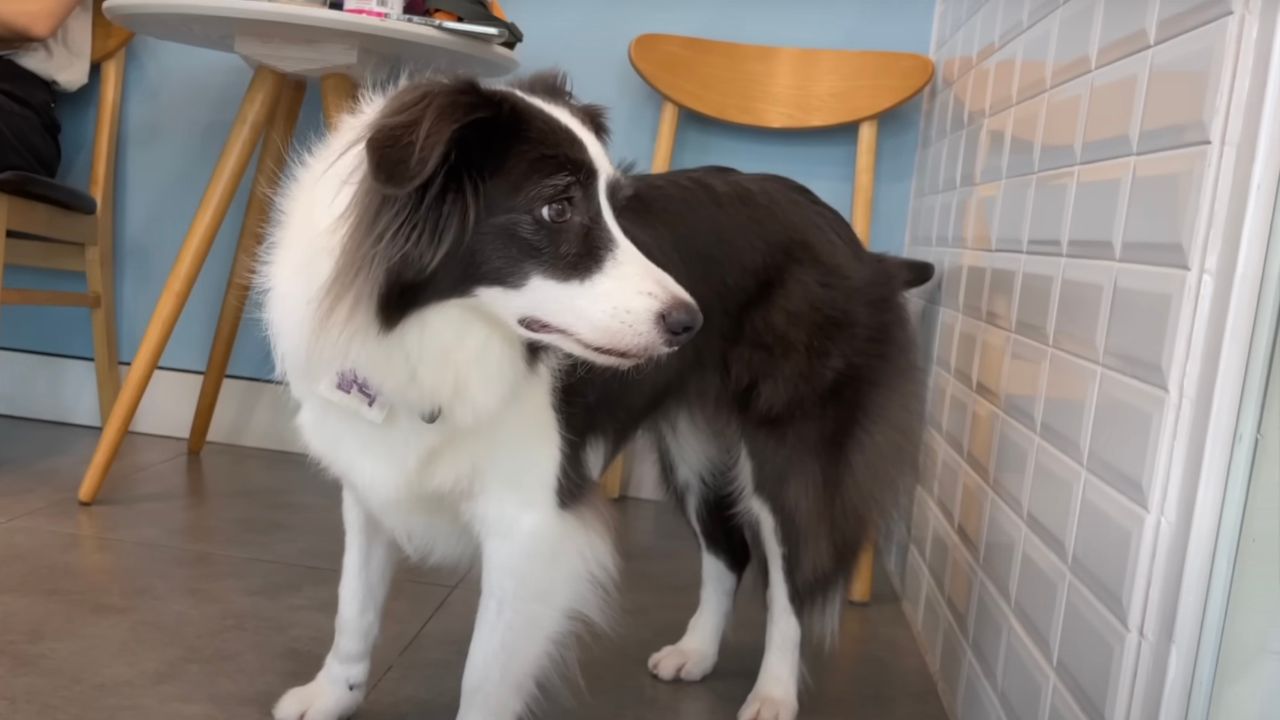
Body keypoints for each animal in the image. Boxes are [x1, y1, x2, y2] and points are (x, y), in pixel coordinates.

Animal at [267, 68, 931, 717]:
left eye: (614, 209)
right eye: (558, 208)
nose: (691, 323)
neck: (429, 333)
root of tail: (858, 245)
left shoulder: (529, 522)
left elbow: (484, 677)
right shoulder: (370, 482)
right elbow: (353, 607)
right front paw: (331, 695)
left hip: (790, 450)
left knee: (791, 581)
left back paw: (773, 693)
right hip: (693, 451)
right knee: (728, 550)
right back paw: (696, 652)